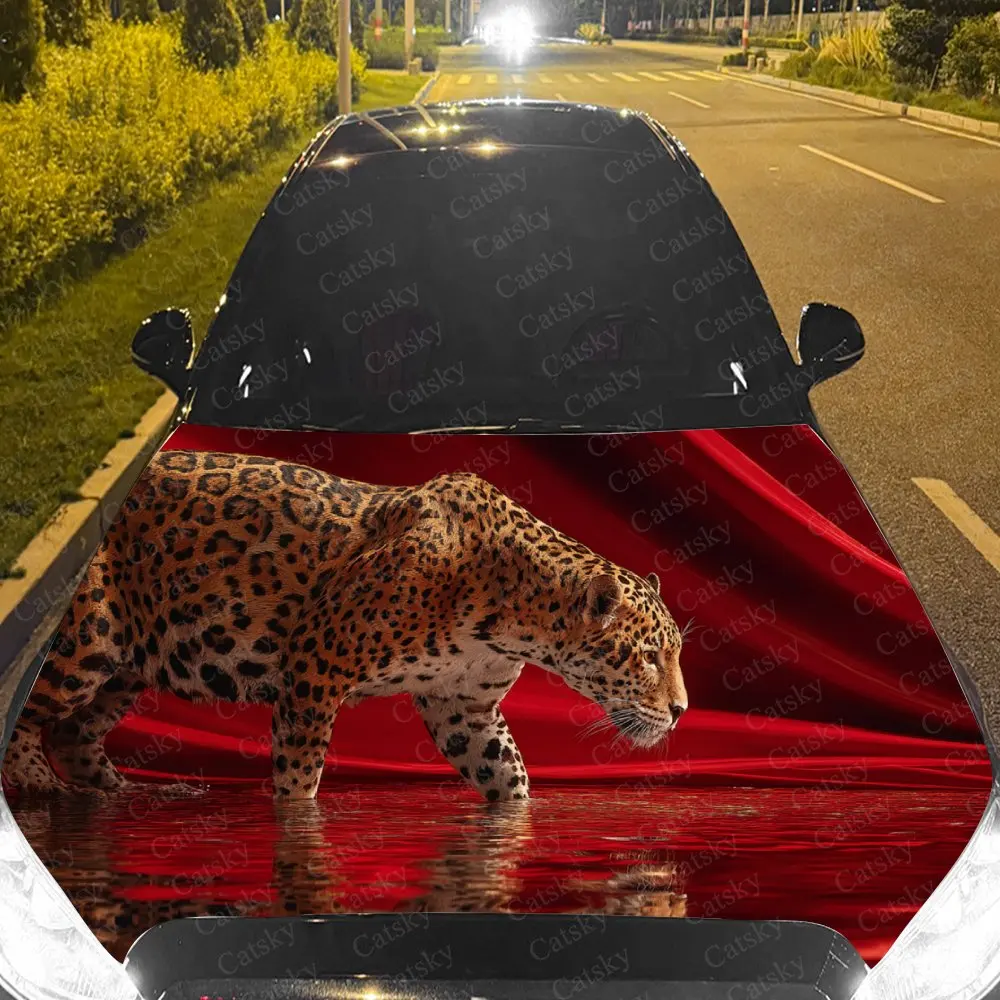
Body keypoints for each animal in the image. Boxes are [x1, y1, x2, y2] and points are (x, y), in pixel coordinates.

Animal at [2, 450, 688, 802]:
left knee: (74, 734)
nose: (682, 711)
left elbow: (508, 775)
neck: (513, 619)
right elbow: (299, 779)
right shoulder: (314, 667)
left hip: (126, 667)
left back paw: (117, 795)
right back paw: (42, 786)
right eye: (651, 656)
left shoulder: (464, 707)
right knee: (27, 713)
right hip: (85, 638)